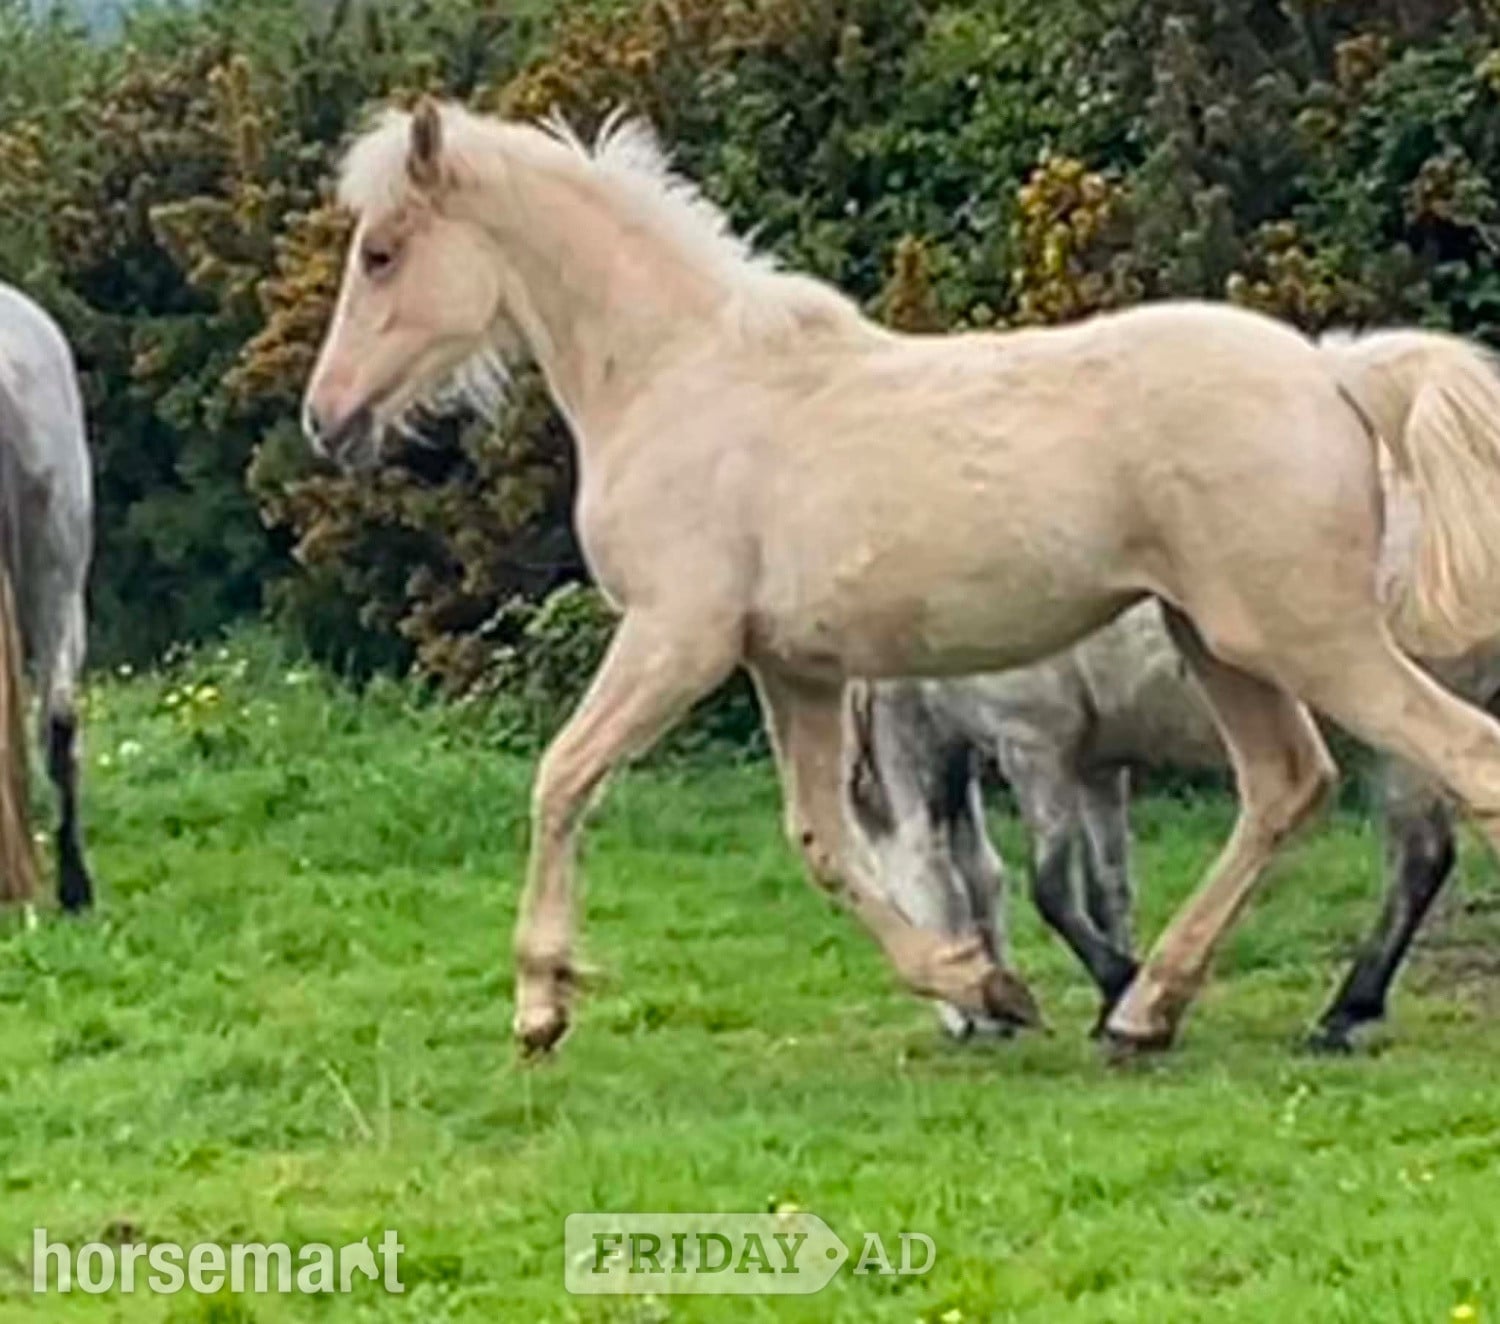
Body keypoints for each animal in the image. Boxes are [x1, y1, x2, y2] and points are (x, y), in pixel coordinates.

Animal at [845, 592, 1500, 1051]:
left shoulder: (1034, 746)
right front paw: (1115, 1002)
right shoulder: (1098, 769)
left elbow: (1052, 890)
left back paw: (1345, 1014)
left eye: (897, 911)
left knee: (1419, 859)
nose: (972, 1027)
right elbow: (1106, 890)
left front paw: (1121, 985)